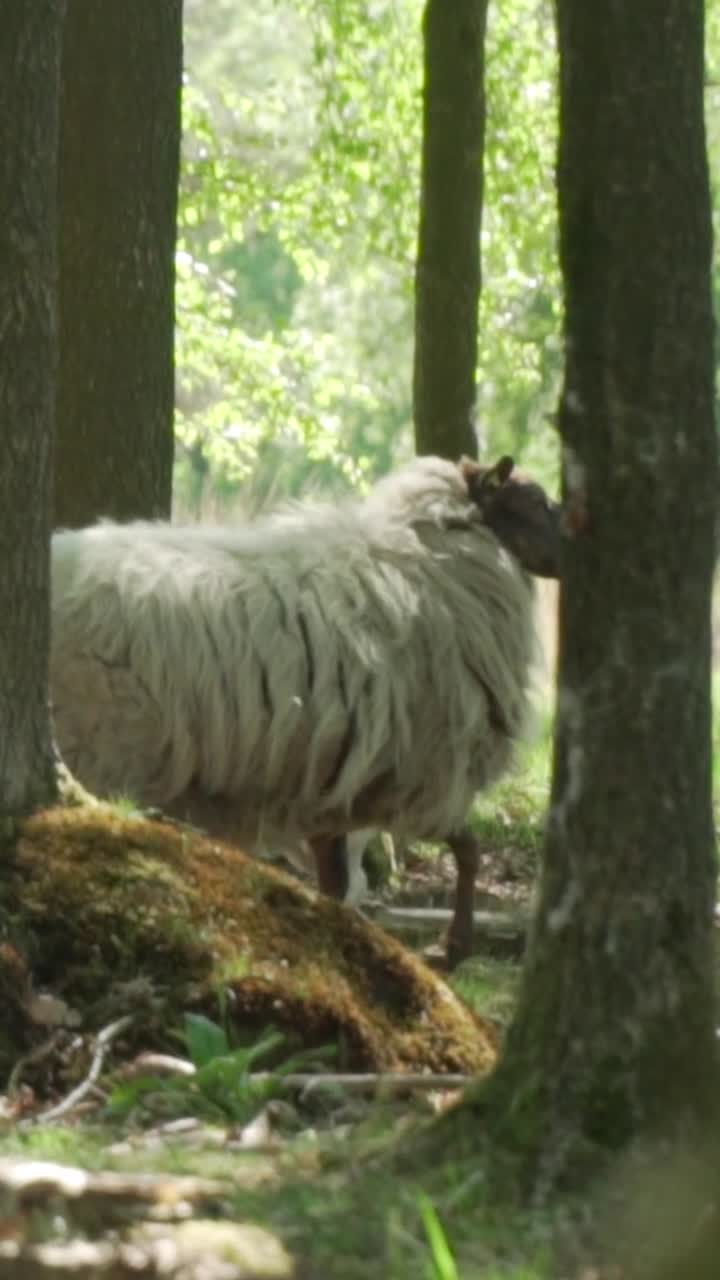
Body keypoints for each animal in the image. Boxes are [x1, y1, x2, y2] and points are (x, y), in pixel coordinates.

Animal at [50, 453, 561, 966]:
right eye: (535, 500)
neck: (431, 564)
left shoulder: (337, 783)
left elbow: (337, 885)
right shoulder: (421, 770)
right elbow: (469, 849)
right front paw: (451, 948)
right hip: (100, 747)